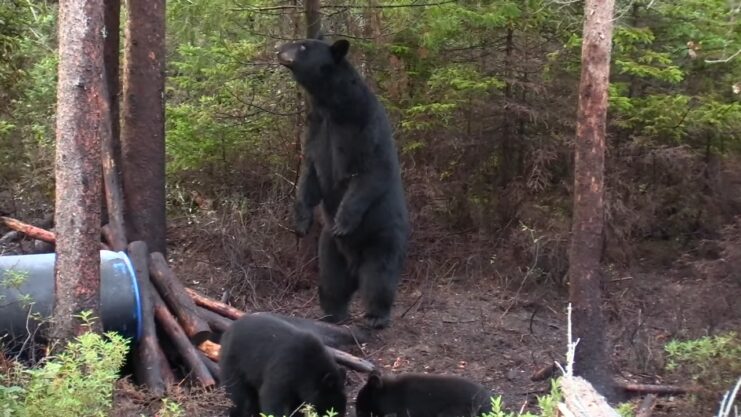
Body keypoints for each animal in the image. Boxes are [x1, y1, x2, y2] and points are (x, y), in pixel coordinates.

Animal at [278, 37, 408, 328]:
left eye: (303, 46)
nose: (279, 49)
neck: (331, 106)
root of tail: (354, 266)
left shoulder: (364, 123)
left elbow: (371, 171)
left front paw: (343, 221)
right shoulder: (315, 128)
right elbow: (311, 173)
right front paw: (301, 222)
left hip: (382, 237)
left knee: (378, 278)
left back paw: (376, 316)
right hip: (328, 249)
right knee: (332, 283)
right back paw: (332, 314)